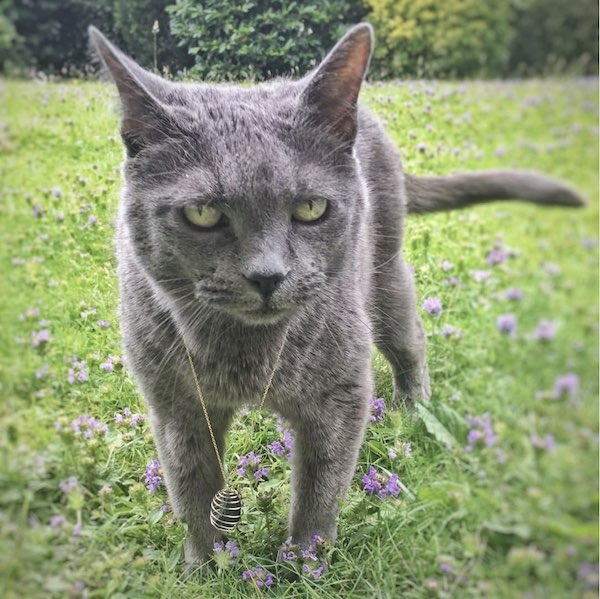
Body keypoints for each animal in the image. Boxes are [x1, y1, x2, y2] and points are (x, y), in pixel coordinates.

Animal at [89, 24, 580, 568]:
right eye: (202, 213)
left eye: (311, 208)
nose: (267, 275)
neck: (246, 357)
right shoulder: (176, 405)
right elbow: (191, 488)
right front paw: (207, 564)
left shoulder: (340, 394)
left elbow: (320, 487)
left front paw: (305, 562)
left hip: (384, 277)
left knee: (412, 340)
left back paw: (413, 407)